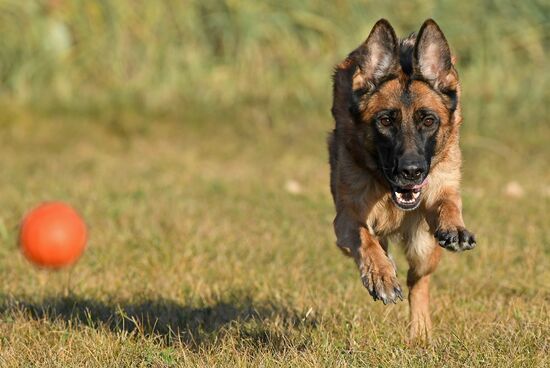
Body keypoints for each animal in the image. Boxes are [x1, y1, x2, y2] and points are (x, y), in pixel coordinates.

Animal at [330, 18, 476, 340]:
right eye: (385, 121)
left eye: (429, 120)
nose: (411, 172)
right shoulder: (345, 220)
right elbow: (365, 239)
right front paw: (381, 277)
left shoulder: (439, 189)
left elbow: (447, 204)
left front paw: (455, 228)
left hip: (424, 250)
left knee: (417, 281)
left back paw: (420, 331)